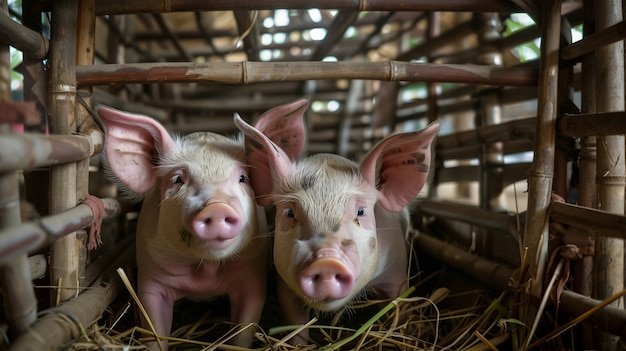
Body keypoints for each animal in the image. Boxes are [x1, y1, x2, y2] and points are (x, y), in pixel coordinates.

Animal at [97, 105, 300, 351]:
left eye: (243, 178)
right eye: (177, 179)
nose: (217, 206)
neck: (206, 274)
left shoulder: (253, 278)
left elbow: (243, 331)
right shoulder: (151, 280)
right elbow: (155, 330)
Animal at [232, 99, 436, 344]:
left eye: (361, 211)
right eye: (289, 213)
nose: (326, 260)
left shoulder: (397, 269)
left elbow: (400, 304)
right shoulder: (284, 284)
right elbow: (296, 322)